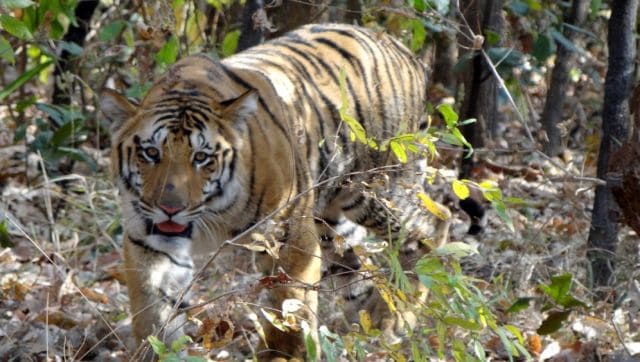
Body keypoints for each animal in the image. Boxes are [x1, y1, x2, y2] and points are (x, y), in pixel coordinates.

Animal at [100, 24, 450, 360]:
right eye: (150, 153)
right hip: (334, 218)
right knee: (355, 272)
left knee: (432, 225)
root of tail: (403, 50)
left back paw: (398, 317)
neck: (212, 212)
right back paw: (371, 324)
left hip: (381, 186)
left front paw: (286, 355)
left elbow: (290, 309)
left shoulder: (291, 238)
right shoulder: (148, 242)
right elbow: (152, 315)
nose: (170, 208)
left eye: (201, 157)